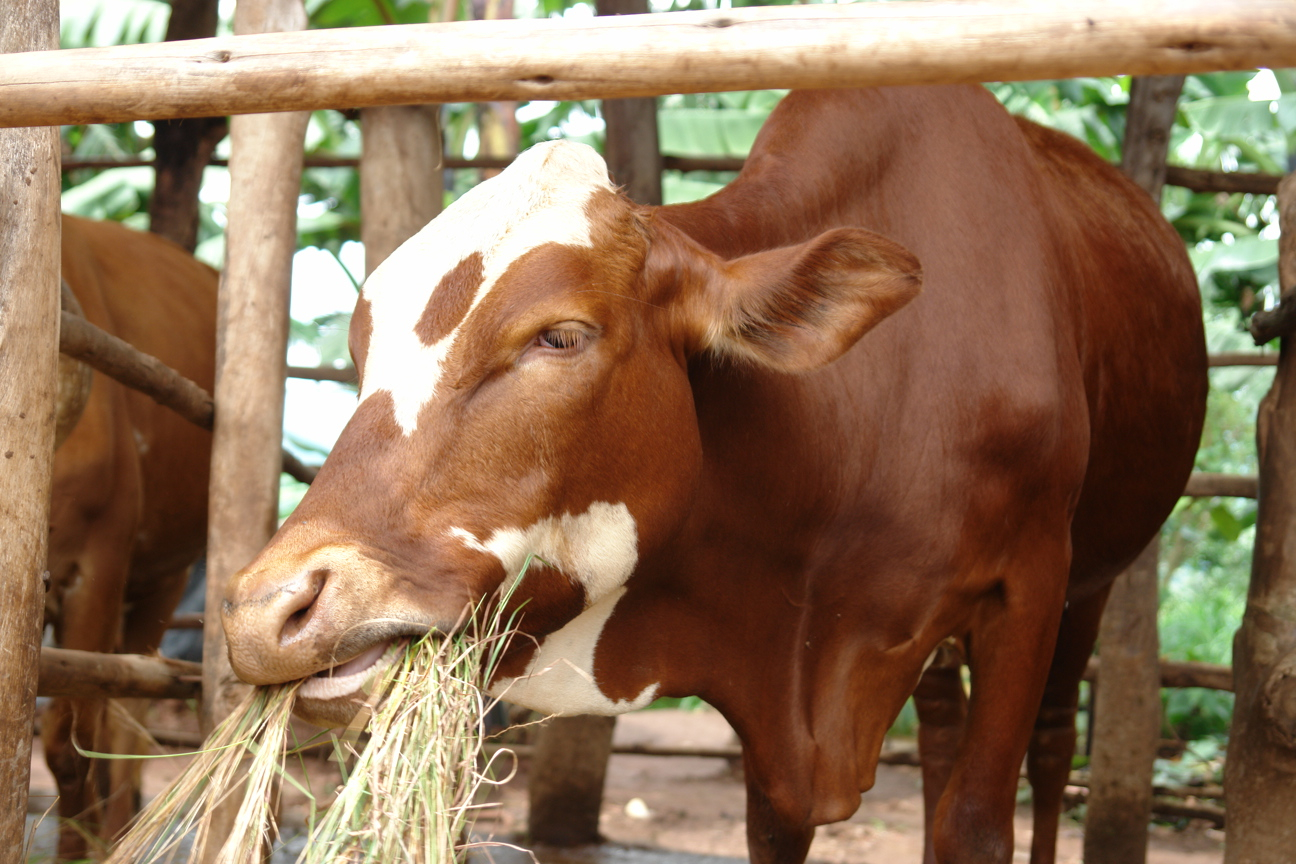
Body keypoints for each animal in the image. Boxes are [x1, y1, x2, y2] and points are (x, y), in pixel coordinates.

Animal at [220, 89, 1202, 864]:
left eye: (559, 336)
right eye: (359, 351)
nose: (270, 612)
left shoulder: (1028, 587)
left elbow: (978, 824)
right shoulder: (774, 739)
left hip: (1089, 588)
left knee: (1051, 744)